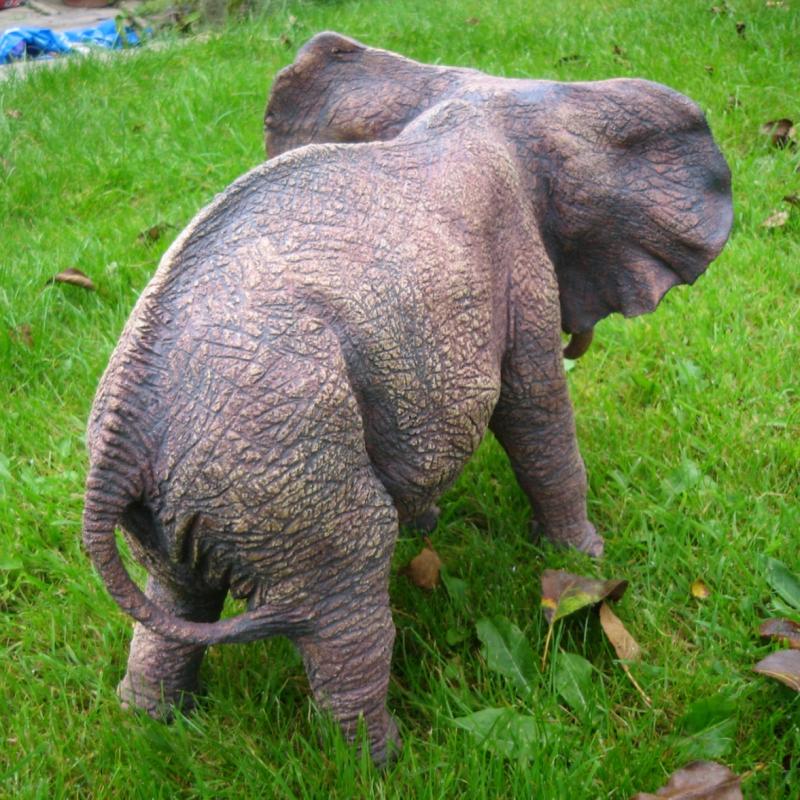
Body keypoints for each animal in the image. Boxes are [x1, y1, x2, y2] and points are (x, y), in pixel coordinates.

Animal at [83, 51, 731, 765]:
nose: (579, 336)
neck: (480, 100)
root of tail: (120, 455)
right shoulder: (518, 260)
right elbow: (534, 410)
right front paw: (585, 560)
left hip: (208, 490)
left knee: (177, 596)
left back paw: (153, 724)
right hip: (282, 472)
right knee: (348, 596)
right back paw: (386, 764)